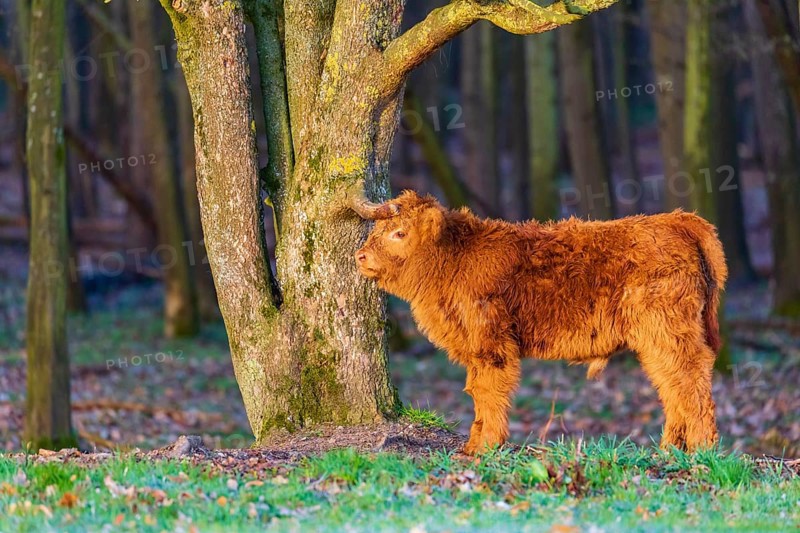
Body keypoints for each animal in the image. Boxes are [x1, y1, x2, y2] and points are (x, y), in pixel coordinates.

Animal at [351, 190, 727, 455]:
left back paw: (702, 449)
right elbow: (476, 390)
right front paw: (473, 445)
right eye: (377, 229)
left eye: (399, 233)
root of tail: (677, 220)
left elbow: (489, 390)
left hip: (668, 329)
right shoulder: (476, 346)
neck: (454, 261)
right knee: (671, 383)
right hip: (655, 339)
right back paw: (670, 450)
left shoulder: (492, 343)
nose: (360, 256)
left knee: (690, 378)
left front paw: (486, 446)